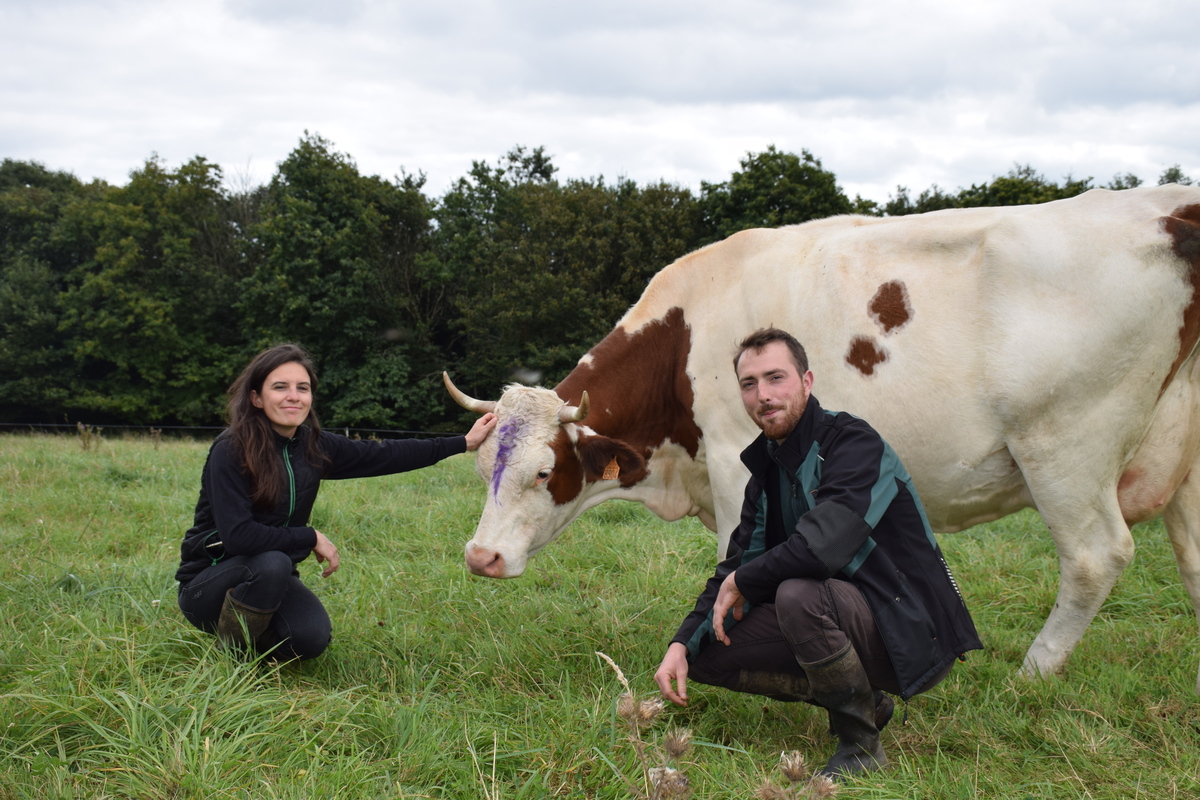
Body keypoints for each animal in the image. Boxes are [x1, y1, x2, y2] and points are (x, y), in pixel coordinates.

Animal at [446, 183, 1200, 695]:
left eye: (545, 472)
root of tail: (1165, 207)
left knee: (1095, 556)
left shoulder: (734, 463)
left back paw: (1032, 674)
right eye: (483, 467)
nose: (480, 557)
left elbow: (734, 564)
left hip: (1063, 446)